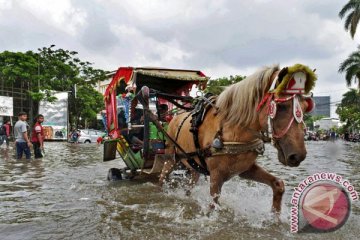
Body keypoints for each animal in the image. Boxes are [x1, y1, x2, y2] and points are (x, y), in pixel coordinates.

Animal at [159, 62, 316, 213]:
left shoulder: (245, 169)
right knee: (162, 178)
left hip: (193, 165)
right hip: (170, 159)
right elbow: (213, 204)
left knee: (191, 182)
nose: (298, 155)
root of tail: (174, 118)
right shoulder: (216, 176)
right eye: (282, 106)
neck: (233, 131)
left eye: (305, 107)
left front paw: (275, 217)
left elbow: (278, 185)